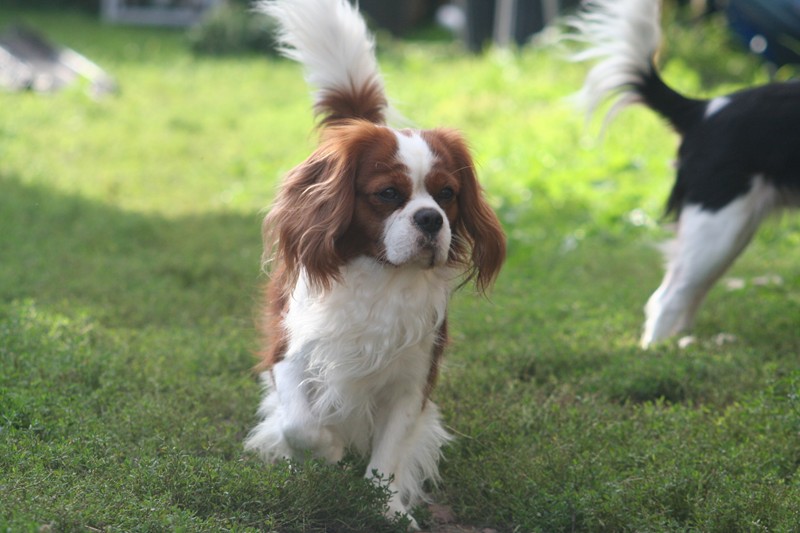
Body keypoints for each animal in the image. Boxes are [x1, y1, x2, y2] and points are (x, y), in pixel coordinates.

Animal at [244, 0, 506, 524]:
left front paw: (388, 511)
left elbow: (389, 457)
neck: (381, 278)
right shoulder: (288, 352)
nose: (430, 219)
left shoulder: (413, 380)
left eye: (448, 195)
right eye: (387, 194)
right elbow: (299, 424)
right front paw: (328, 451)